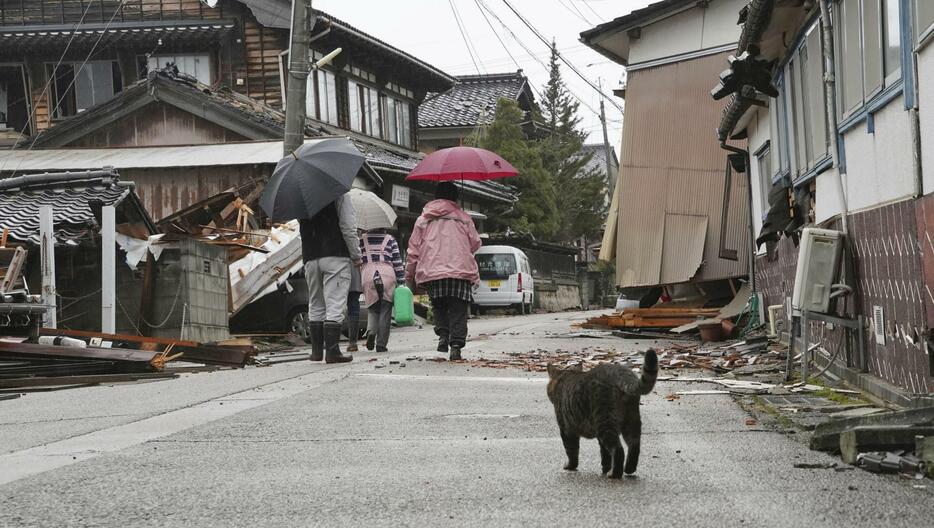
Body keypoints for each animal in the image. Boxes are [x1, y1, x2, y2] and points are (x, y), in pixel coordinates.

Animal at [544, 350, 660, 478]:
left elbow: (571, 450)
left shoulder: (566, 429)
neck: (565, 376)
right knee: (634, 445)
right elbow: (605, 454)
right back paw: (629, 469)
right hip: (631, 418)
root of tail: (619, 371)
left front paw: (570, 466)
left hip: (605, 421)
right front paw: (605, 468)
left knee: (618, 450)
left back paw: (614, 473)